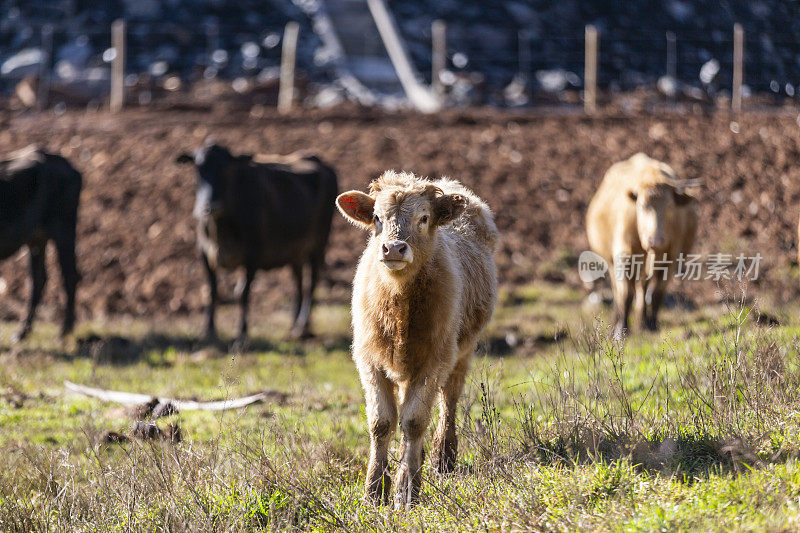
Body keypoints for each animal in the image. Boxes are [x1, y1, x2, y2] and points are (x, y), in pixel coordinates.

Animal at [0, 144, 81, 340]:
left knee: (69, 275)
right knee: (38, 278)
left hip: (64, 230)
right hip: (36, 238)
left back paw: (65, 331)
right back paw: (22, 332)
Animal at [175, 143, 338, 348]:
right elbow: (212, 292)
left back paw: (302, 325)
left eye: (226, 169)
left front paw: (241, 335)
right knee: (298, 282)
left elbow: (242, 293)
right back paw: (294, 325)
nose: (211, 205)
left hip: (319, 242)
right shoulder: (204, 253)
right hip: (296, 251)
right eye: (198, 169)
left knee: (311, 282)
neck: (220, 230)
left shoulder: (252, 254)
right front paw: (209, 332)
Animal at [334, 170, 496, 508]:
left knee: (448, 401)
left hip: (461, 353)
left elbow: (414, 421)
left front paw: (407, 489)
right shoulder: (369, 359)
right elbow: (381, 422)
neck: (399, 305)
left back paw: (442, 458)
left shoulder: (435, 360)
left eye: (423, 218)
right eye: (377, 218)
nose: (393, 249)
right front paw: (374, 489)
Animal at [584, 152, 696, 338]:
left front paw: (652, 324)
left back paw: (642, 322)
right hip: (612, 262)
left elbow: (657, 293)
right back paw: (617, 322)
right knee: (618, 291)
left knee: (643, 289)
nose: (656, 241)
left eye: (670, 207)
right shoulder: (625, 257)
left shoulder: (670, 260)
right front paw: (621, 331)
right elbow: (626, 294)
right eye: (643, 206)